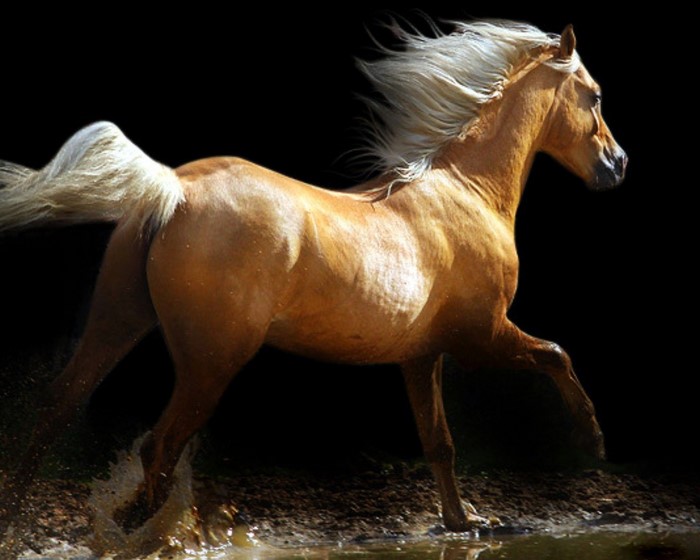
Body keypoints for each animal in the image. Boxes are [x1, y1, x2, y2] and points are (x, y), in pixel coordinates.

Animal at [0, 20, 626, 538]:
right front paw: (592, 441)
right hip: (210, 361)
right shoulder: (481, 334)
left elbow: (439, 442)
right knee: (160, 445)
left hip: (118, 321)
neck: (466, 190)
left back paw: (17, 521)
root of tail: (173, 189)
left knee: (58, 409)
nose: (617, 165)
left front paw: (464, 521)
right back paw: (159, 535)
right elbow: (556, 353)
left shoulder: (421, 356)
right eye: (594, 95)